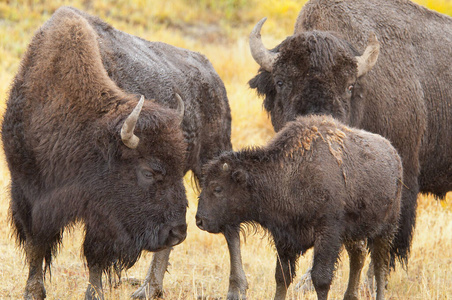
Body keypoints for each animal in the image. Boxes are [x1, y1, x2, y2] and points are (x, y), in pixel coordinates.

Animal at [0, 6, 244, 300]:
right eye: (148, 172)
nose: (177, 232)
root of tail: (212, 74)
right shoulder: (26, 193)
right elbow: (35, 247)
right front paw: (33, 292)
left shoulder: (100, 214)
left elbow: (94, 254)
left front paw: (94, 294)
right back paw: (150, 287)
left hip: (215, 156)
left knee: (231, 227)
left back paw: (236, 288)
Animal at [197, 115, 402, 300]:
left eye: (217, 188)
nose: (200, 220)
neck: (289, 174)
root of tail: (394, 153)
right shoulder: (284, 238)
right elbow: (282, 277)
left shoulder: (327, 234)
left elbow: (321, 279)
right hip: (355, 233)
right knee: (358, 256)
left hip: (386, 229)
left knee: (380, 266)